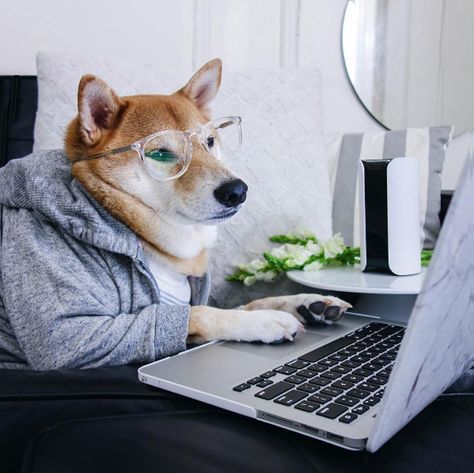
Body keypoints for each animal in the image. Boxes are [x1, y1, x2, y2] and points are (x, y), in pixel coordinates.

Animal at [65, 59, 350, 344]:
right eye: (161, 154)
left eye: (209, 141)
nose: (237, 191)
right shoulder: (81, 333)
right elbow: (202, 313)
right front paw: (265, 320)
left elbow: (251, 303)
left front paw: (305, 301)